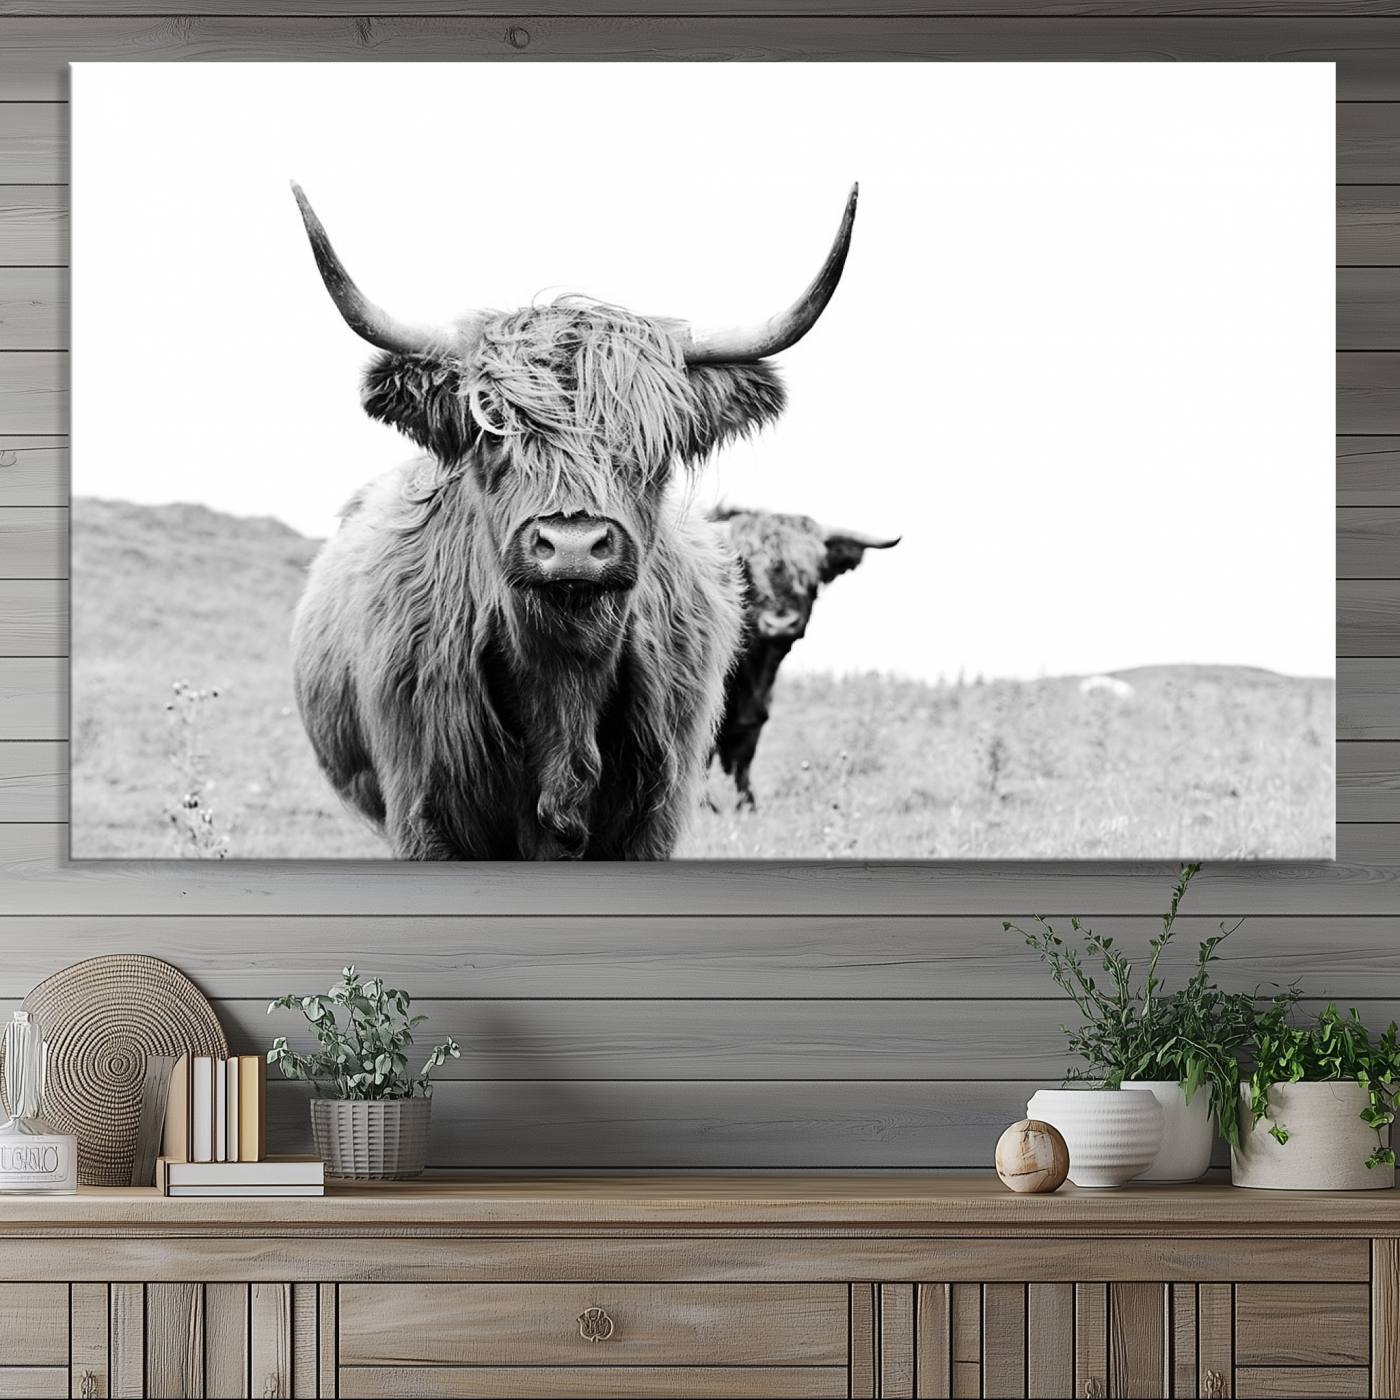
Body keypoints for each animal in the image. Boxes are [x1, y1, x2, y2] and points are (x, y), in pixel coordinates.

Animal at [288, 182, 858, 859]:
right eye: (491, 428)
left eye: (654, 440)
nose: (573, 546)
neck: (564, 683)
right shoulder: (425, 814)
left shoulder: (654, 820)